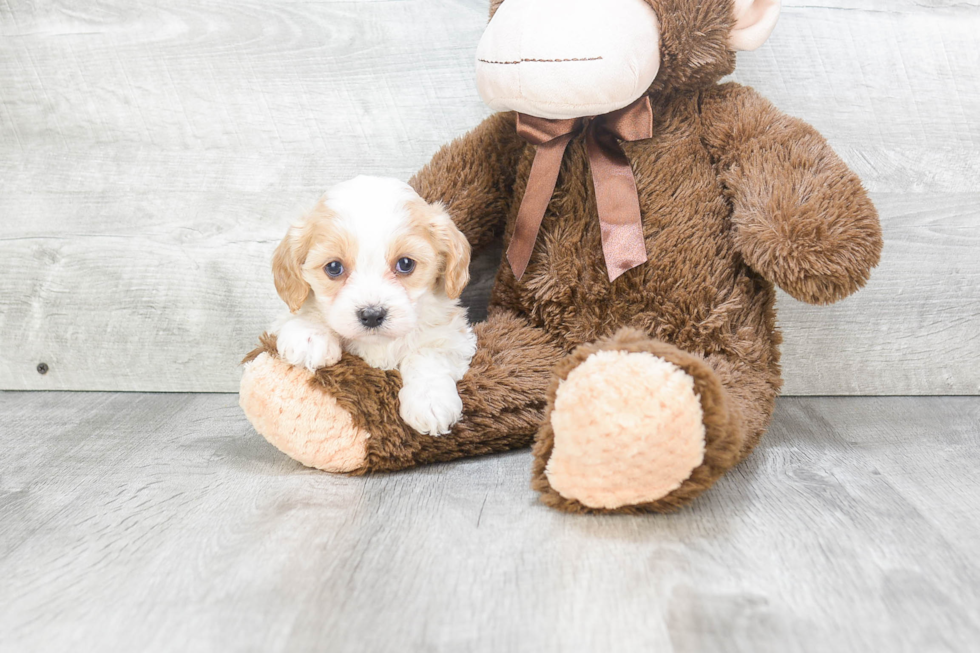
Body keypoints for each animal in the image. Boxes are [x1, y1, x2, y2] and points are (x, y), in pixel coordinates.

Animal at [270, 176, 476, 436]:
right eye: (334, 267)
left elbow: (425, 354)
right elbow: (307, 311)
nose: (371, 315)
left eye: (405, 264)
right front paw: (309, 335)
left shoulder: (453, 336)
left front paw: (429, 401)